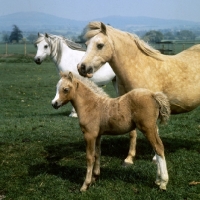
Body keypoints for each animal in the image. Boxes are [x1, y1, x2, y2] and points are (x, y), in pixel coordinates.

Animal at [77, 20, 200, 164]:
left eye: (100, 45)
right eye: (86, 45)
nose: (81, 67)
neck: (138, 67)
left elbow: (155, 132)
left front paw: (155, 158)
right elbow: (132, 133)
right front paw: (129, 158)